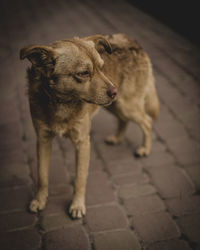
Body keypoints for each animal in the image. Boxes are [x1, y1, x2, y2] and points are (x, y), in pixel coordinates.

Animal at [20, 33, 159, 219]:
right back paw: (117, 138)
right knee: (124, 120)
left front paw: (77, 205)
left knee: (147, 122)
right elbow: (42, 176)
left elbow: (80, 179)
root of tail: (132, 41)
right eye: (83, 73)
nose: (114, 90)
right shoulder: (43, 140)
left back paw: (145, 149)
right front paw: (40, 200)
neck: (62, 104)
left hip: (126, 104)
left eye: (102, 67)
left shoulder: (83, 143)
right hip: (115, 105)